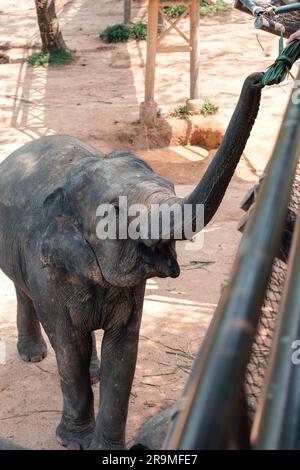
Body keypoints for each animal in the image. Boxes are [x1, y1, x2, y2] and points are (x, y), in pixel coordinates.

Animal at [0, 71, 262, 450]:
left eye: (169, 183)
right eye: (115, 211)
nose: (257, 80)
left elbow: (123, 350)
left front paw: (106, 447)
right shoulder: (46, 265)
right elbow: (67, 344)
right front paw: (75, 442)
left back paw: (91, 372)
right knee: (24, 293)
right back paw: (34, 356)